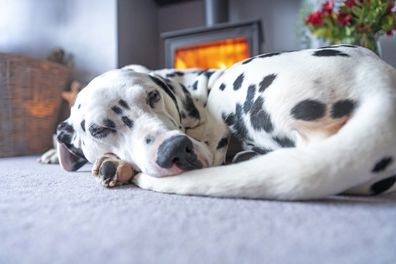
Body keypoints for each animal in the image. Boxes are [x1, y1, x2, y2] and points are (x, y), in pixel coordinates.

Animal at [56, 45, 396, 199]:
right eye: (100, 129)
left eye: (153, 96)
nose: (175, 150)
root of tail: (381, 88)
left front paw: (115, 165)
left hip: (229, 82)